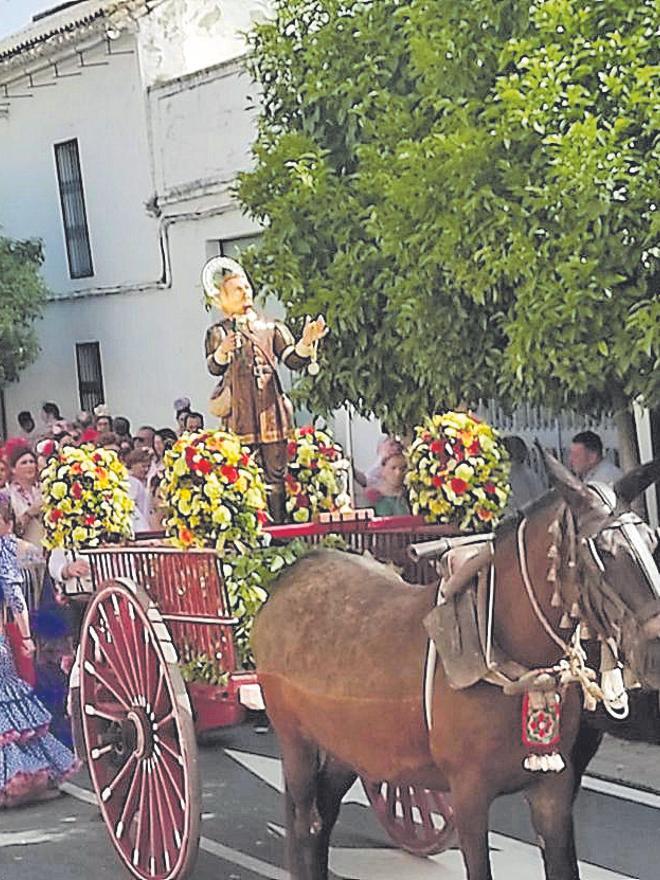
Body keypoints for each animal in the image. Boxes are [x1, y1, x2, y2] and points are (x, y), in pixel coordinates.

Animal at [254, 454, 660, 880]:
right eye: (603, 550)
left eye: (651, 540)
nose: (655, 648)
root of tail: (293, 574)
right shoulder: (468, 795)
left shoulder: (553, 789)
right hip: (295, 739)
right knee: (306, 820)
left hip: (347, 745)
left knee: (323, 815)